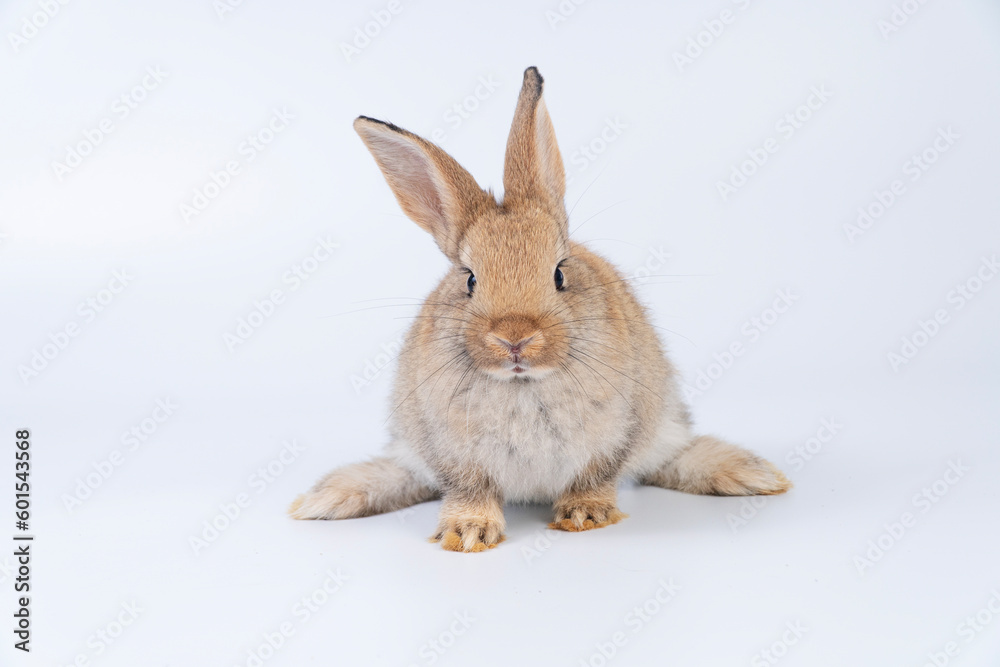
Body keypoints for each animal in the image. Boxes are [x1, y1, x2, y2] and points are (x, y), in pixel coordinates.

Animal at [289, 66, 791, 552]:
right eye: (469, 279)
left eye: (559, 274)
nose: (515, 337)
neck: (522, 383)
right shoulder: (450, 452)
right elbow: (469, 490)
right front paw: (467, 533)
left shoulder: (616, 436)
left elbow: (595, 478)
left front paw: (585, 515)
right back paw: (325, 499)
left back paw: (754, 474)